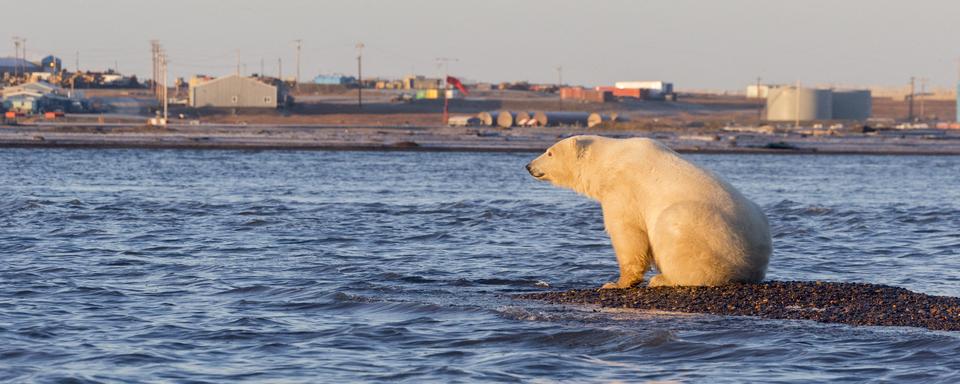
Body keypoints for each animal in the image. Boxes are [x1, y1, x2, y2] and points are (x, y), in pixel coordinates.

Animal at [524, 136, 772, 288]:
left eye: (549, 152)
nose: (528, 166)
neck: (610, 159)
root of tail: (754, 266)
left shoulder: (624, 188)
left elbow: (628, 232)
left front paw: (616, 283)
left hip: (707, 231)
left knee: (676, 230)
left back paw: (663, 279)